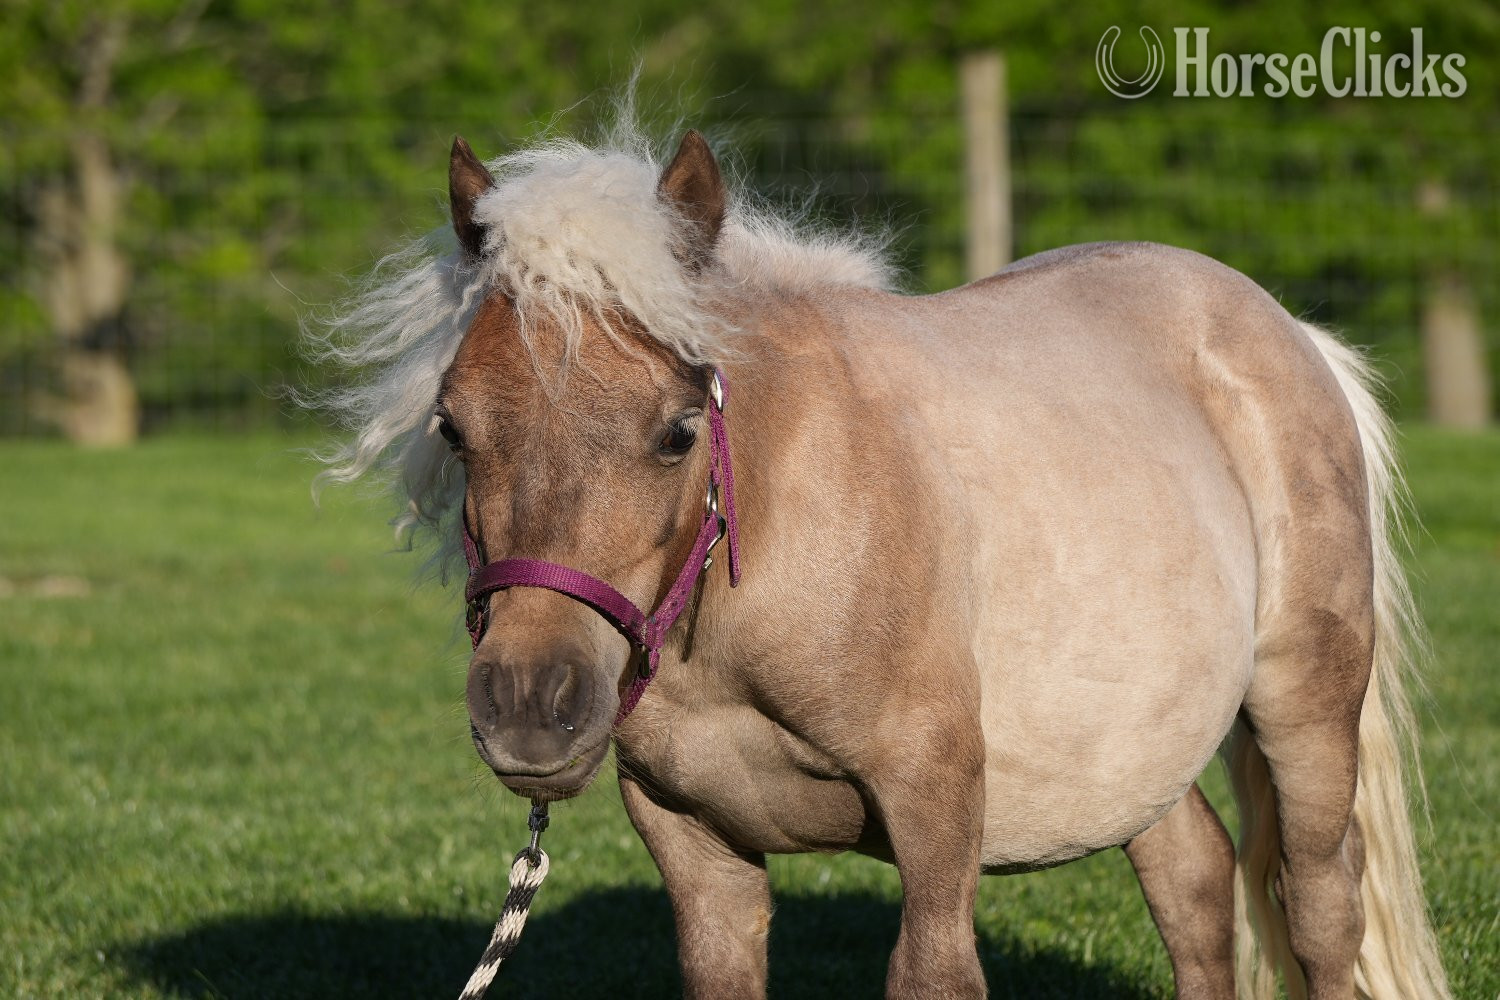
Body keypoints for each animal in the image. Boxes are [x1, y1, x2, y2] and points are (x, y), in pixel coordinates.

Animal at [310, 123, 1449, 999]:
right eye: (455, 428)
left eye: (677, 432)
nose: (529, 706)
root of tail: (1286, 329)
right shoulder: (695, 844)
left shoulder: (935, 806)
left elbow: (935, 969)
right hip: (1134, 751)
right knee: (1196, 884)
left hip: (1303, 705)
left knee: (1319, 904)